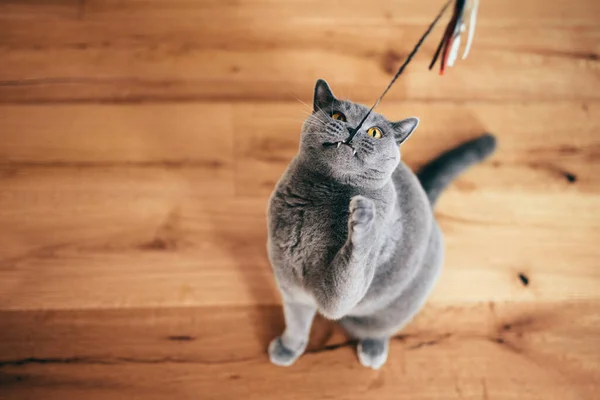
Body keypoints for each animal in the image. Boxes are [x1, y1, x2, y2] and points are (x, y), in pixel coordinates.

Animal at [268, 79, 496, 368]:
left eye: (374, 132)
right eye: (337, 116)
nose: (352, 129)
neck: (323, 194)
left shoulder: (338, 297)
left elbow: (350, 272)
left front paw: (364, 216)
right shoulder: (291, 285)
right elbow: (296, 322)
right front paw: (288, 349)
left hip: (399, 303)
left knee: (380, 327)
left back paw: (373, 351)